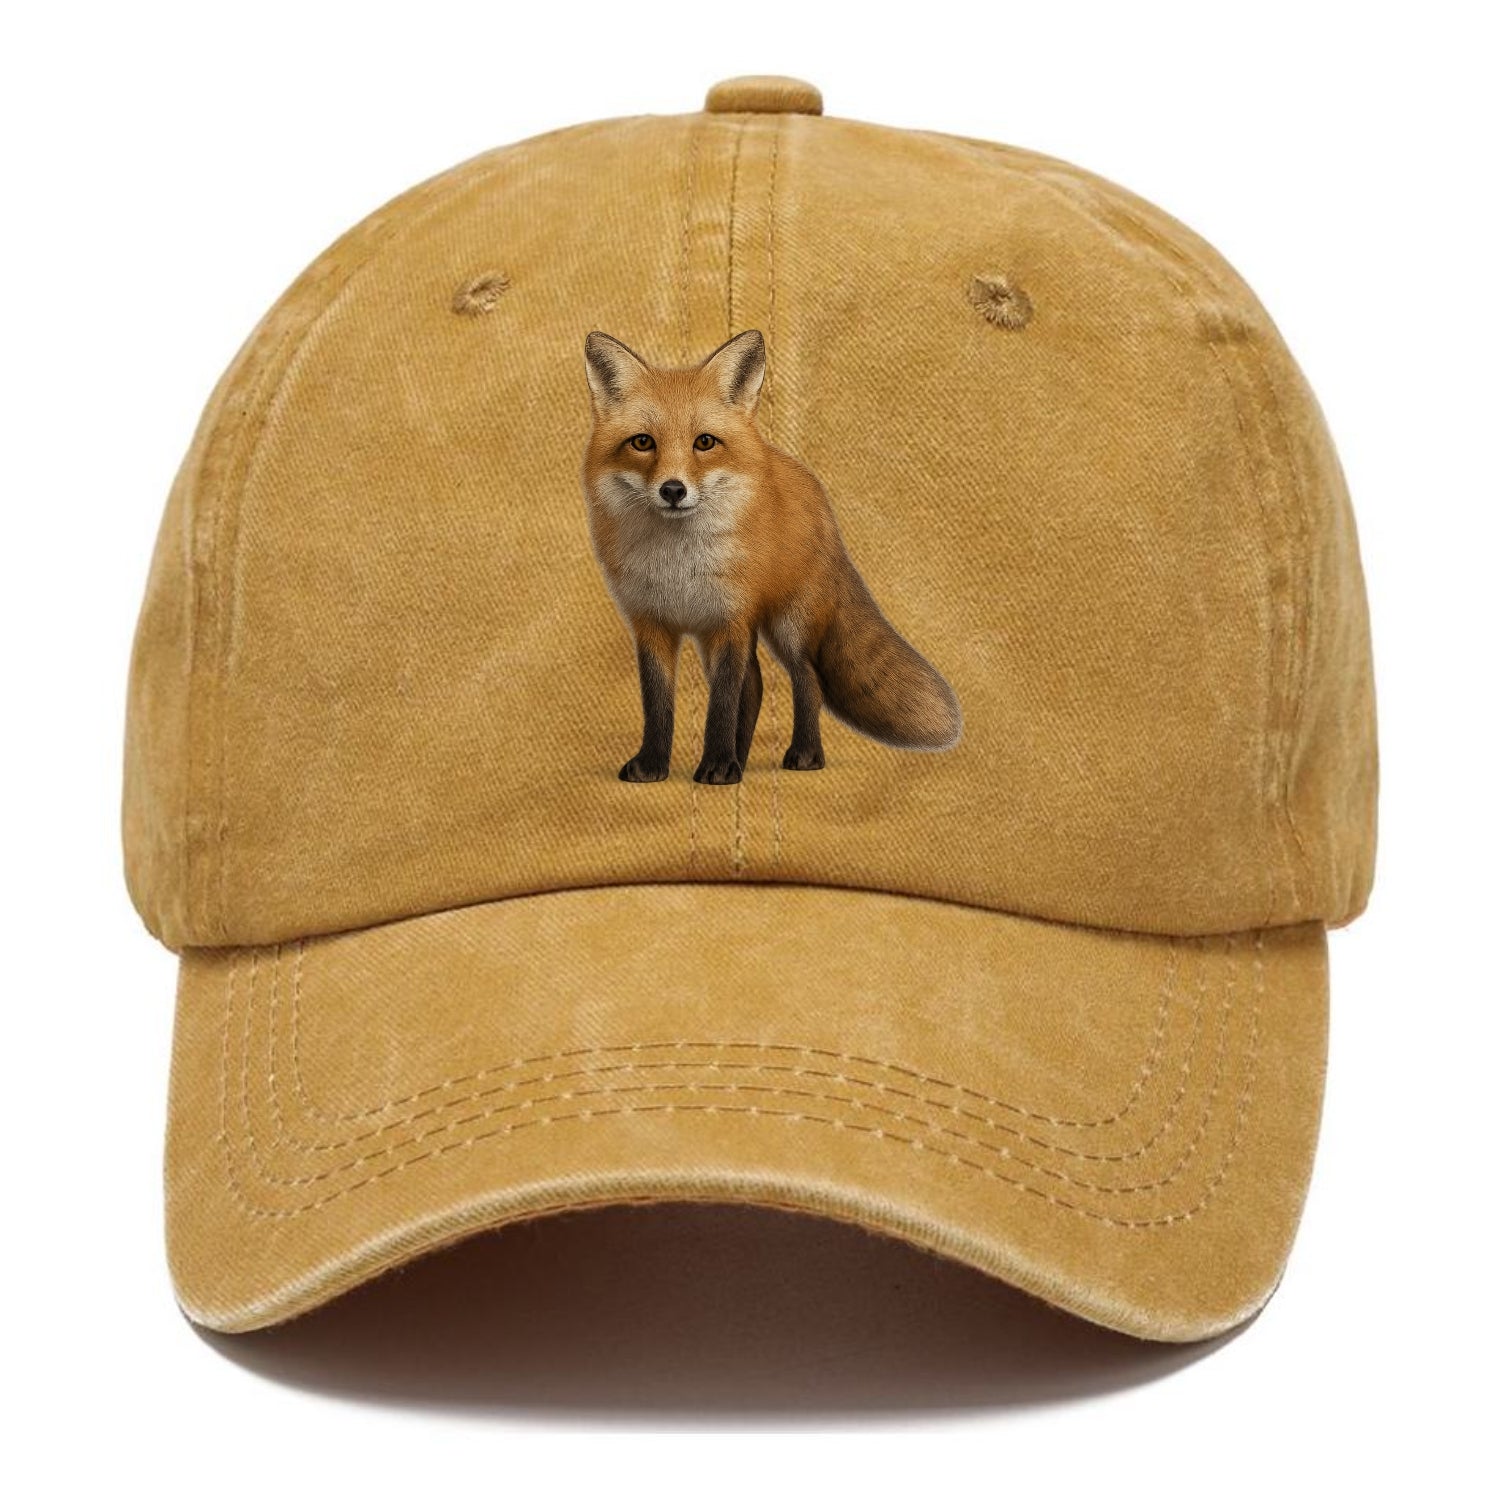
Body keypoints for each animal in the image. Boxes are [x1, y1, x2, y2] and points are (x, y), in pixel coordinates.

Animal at [580, 328, 962, 785]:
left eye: (704, 442)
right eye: (642, 442)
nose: (673, 489)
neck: (679, 565)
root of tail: (812, 487)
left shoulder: (730, 620)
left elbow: (722, 705)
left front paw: (717, 766)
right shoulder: (654, 625)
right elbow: (659, 706)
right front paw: (655, 764)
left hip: (789, 624)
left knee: (808, 678)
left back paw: (803, 753)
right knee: (757, 686)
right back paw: (742, 760)